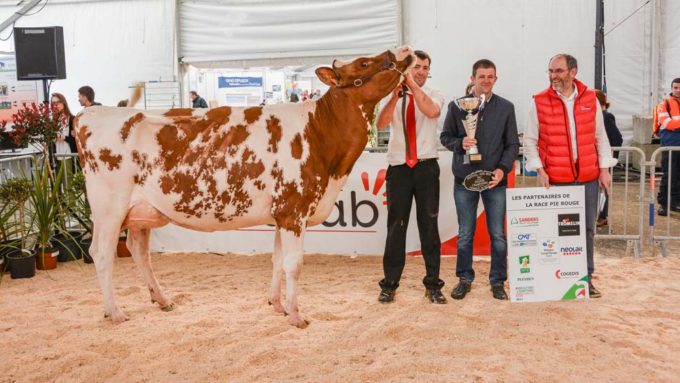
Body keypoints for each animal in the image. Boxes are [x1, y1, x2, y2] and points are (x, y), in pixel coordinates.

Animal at [74, 46, 414, 328]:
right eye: (364, 62)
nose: (397, 53)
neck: (320, 133)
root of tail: (89, 113)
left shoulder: (281, 214)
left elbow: (277, 261)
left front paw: (277, 304)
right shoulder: (294, 211)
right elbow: (294, 265)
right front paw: (296, 315)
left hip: (141, 212)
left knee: (138, 251)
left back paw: (162, 299)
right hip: (109, 209)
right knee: (101, 252)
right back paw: (115, 312)